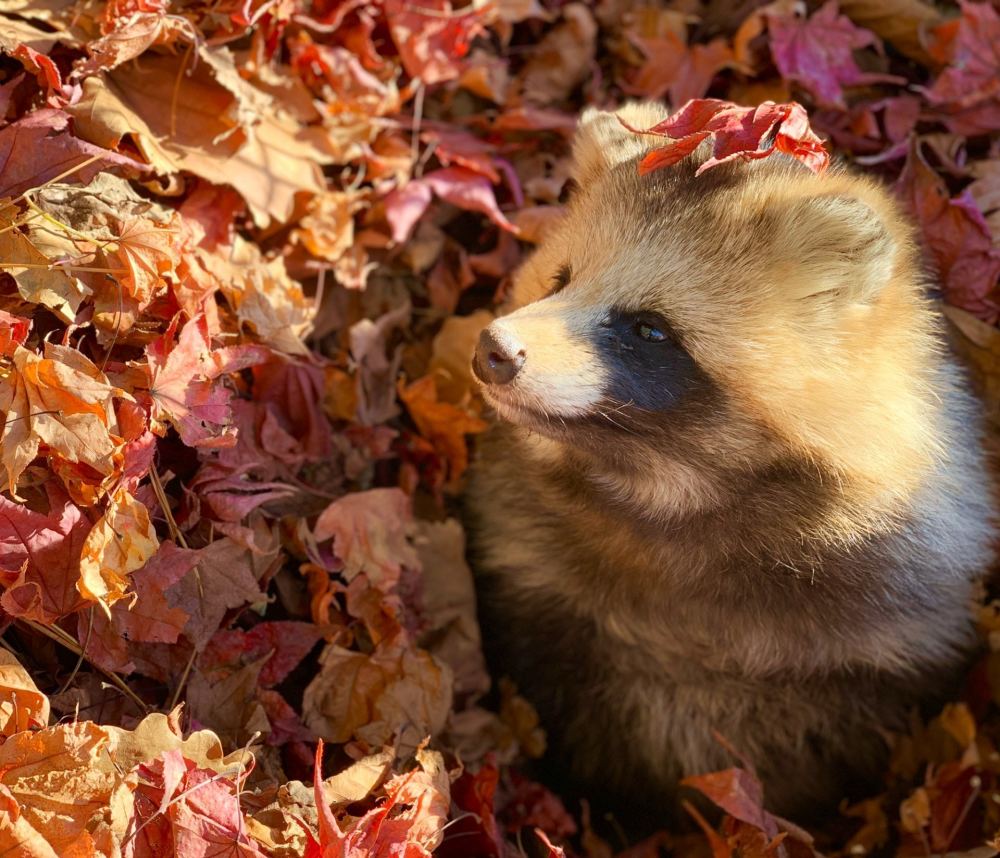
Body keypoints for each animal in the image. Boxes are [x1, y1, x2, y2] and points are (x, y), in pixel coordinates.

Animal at [464, 103, 996, 824]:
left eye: (650, 329)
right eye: (560, 280)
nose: (493, 349)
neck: (665, 500)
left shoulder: (882, 635)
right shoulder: (542, 587)